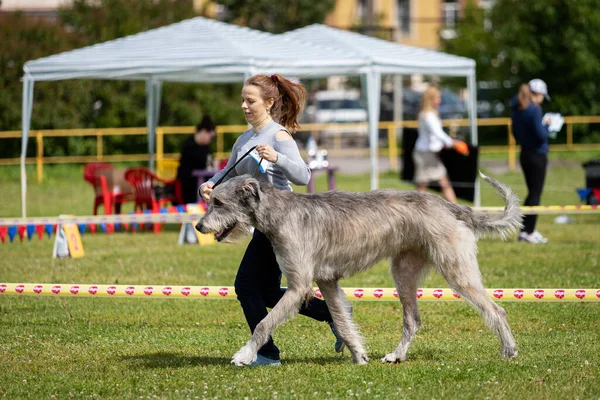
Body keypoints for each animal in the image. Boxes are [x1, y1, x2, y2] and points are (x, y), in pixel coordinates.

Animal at [196, 173, 520, 366]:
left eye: (218, 202)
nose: (198, 226)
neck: (280, 213)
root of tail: (447, 205)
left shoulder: (300, 286)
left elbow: (264, 323)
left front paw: (244, 354)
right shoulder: (327, 281)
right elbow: (341, 320)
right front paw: (359, 355)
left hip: (456, 270)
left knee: (497, 309)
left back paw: (509, 350)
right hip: (403, 272)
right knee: (413, 320)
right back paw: (396, 355)